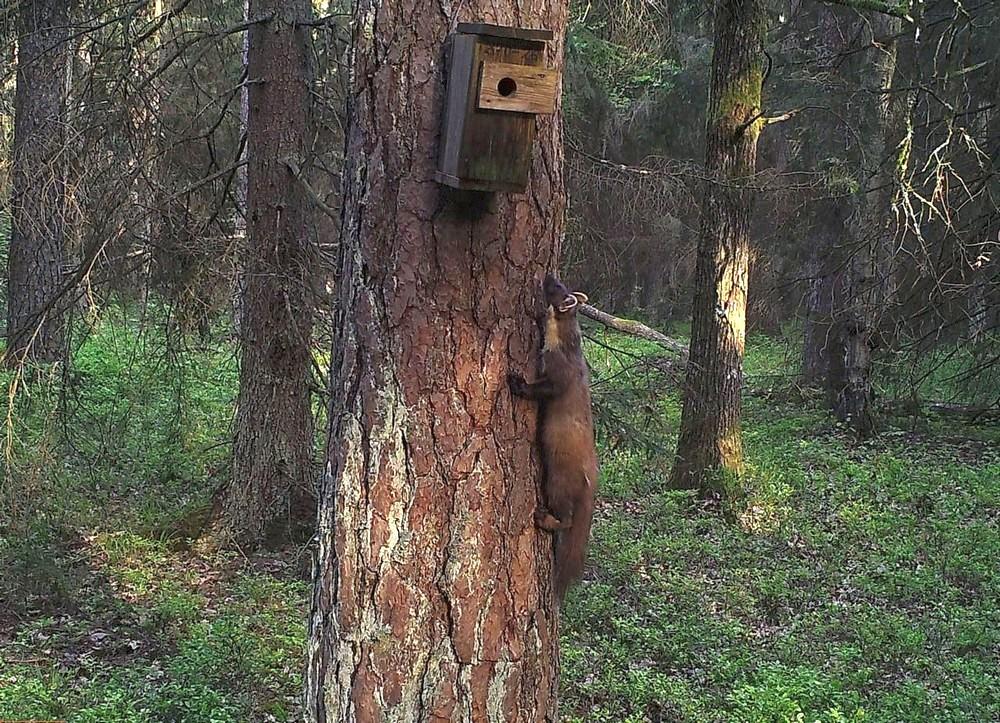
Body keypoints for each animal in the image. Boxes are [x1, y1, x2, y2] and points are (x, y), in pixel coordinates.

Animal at [509, 274, 598, 600]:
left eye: (557, 288)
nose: (548, 275)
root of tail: (592, 484)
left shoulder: (558, 376)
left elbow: (543, 389)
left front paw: (516, 382)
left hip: (558, 482)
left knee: (566, 518)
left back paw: (542, 518)